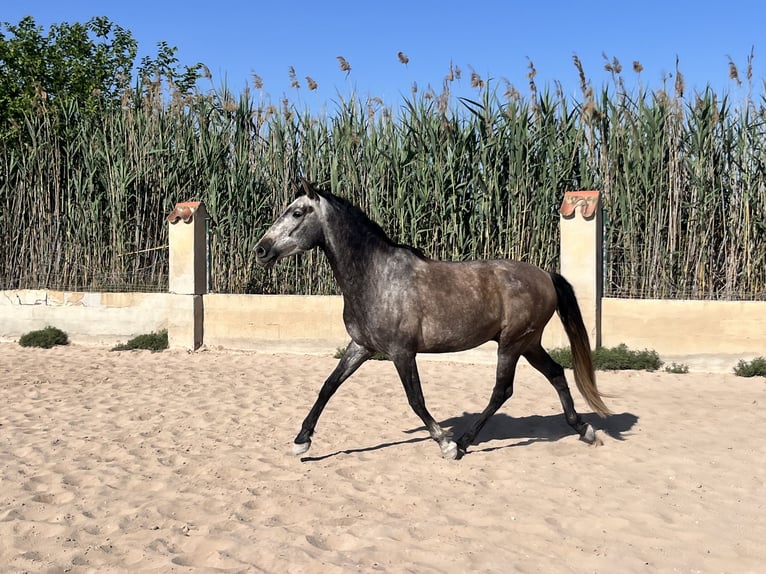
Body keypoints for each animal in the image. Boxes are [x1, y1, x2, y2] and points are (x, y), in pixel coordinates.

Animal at [256, 180, 612, 460]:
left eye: (297, 212)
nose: (261, 250)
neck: (376, 276)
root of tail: (546, 275)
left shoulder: (401, 352)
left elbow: (416, 399)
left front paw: (445, 443)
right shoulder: (361, 346)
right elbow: (328, 386)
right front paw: (301, 441)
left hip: (512, 344)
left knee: (503, 390)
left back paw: (465, 442)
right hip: (529, 343)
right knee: (556, 374)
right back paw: (584, 429)